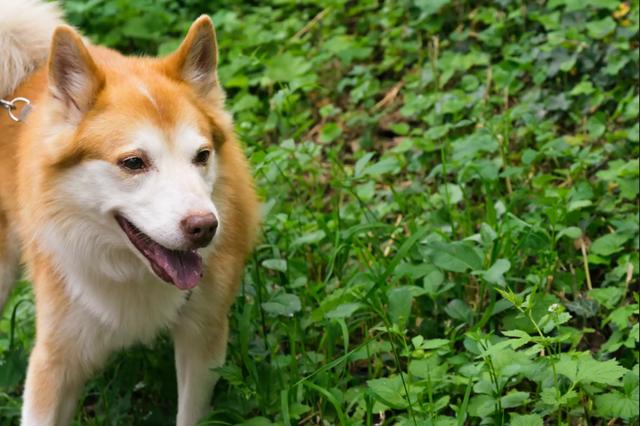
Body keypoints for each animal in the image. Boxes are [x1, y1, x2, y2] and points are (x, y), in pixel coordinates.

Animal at [0, 1, 260, 424]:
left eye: (202, 155)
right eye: (134, 162)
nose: (205, 227)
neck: (130, 270)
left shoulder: (203, 340)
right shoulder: (54, 361)